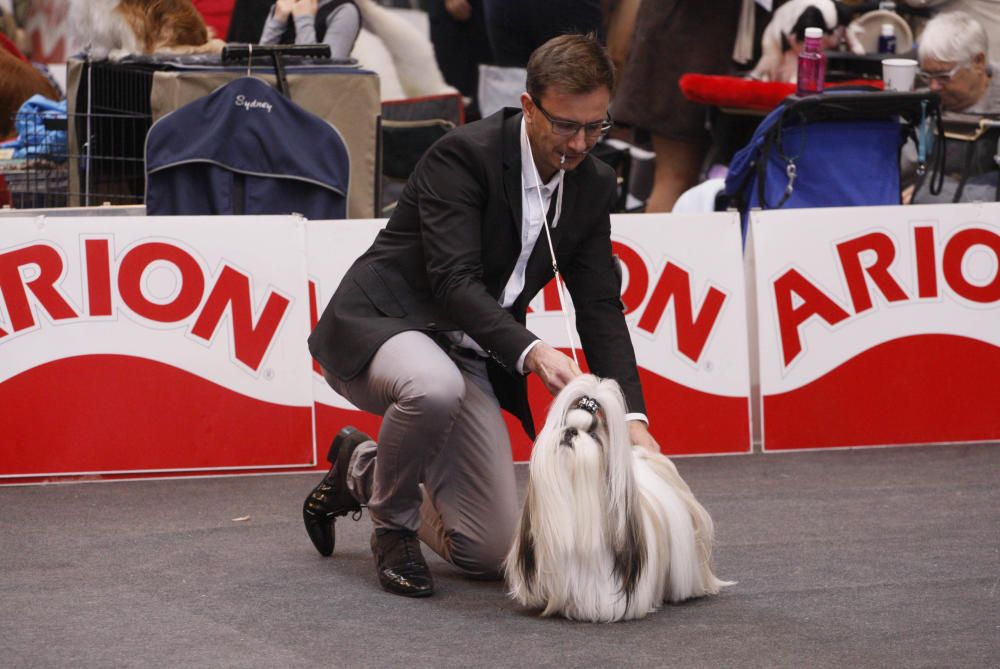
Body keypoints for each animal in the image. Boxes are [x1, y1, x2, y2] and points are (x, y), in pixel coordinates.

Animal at [70, 0, 225, 59]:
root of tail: (204, 39)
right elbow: (101, 37)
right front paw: (97, 53)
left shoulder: (127, 13)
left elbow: (127, 33)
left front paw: (121, 53)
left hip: (169, 23)